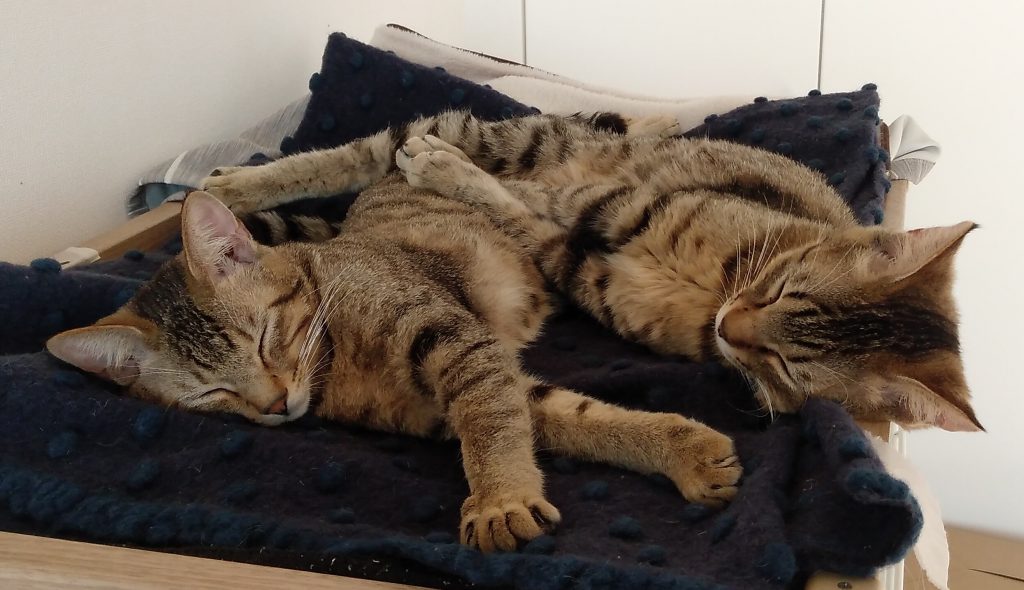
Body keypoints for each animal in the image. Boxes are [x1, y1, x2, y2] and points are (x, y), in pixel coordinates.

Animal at [46, 114, 744, 553]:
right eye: (212, 395)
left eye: (265, 337)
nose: (275, 406)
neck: (334, 360)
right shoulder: (459, 396)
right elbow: (572, 417)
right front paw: (683, 451)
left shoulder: (456, 340)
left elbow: (492, 428)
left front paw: (500, 500)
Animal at [198, 110, 981, 433]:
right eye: (785, 287)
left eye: (789, 368)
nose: (731, 326)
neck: (723, 283)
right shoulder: (610, 206)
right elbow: (514, 198)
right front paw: (446, 174)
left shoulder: (587, 270)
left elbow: (530, 222)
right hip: (525, 137)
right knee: (378, 145)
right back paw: (231, 183)